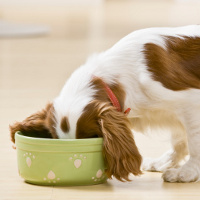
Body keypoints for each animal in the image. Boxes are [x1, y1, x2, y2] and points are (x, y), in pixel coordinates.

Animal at [9, 25, 200, 183]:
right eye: (56, 140)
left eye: (92, 137)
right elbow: (178, 139)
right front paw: (166, 162)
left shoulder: (190, 103)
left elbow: (194, 143)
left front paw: (186, 172)